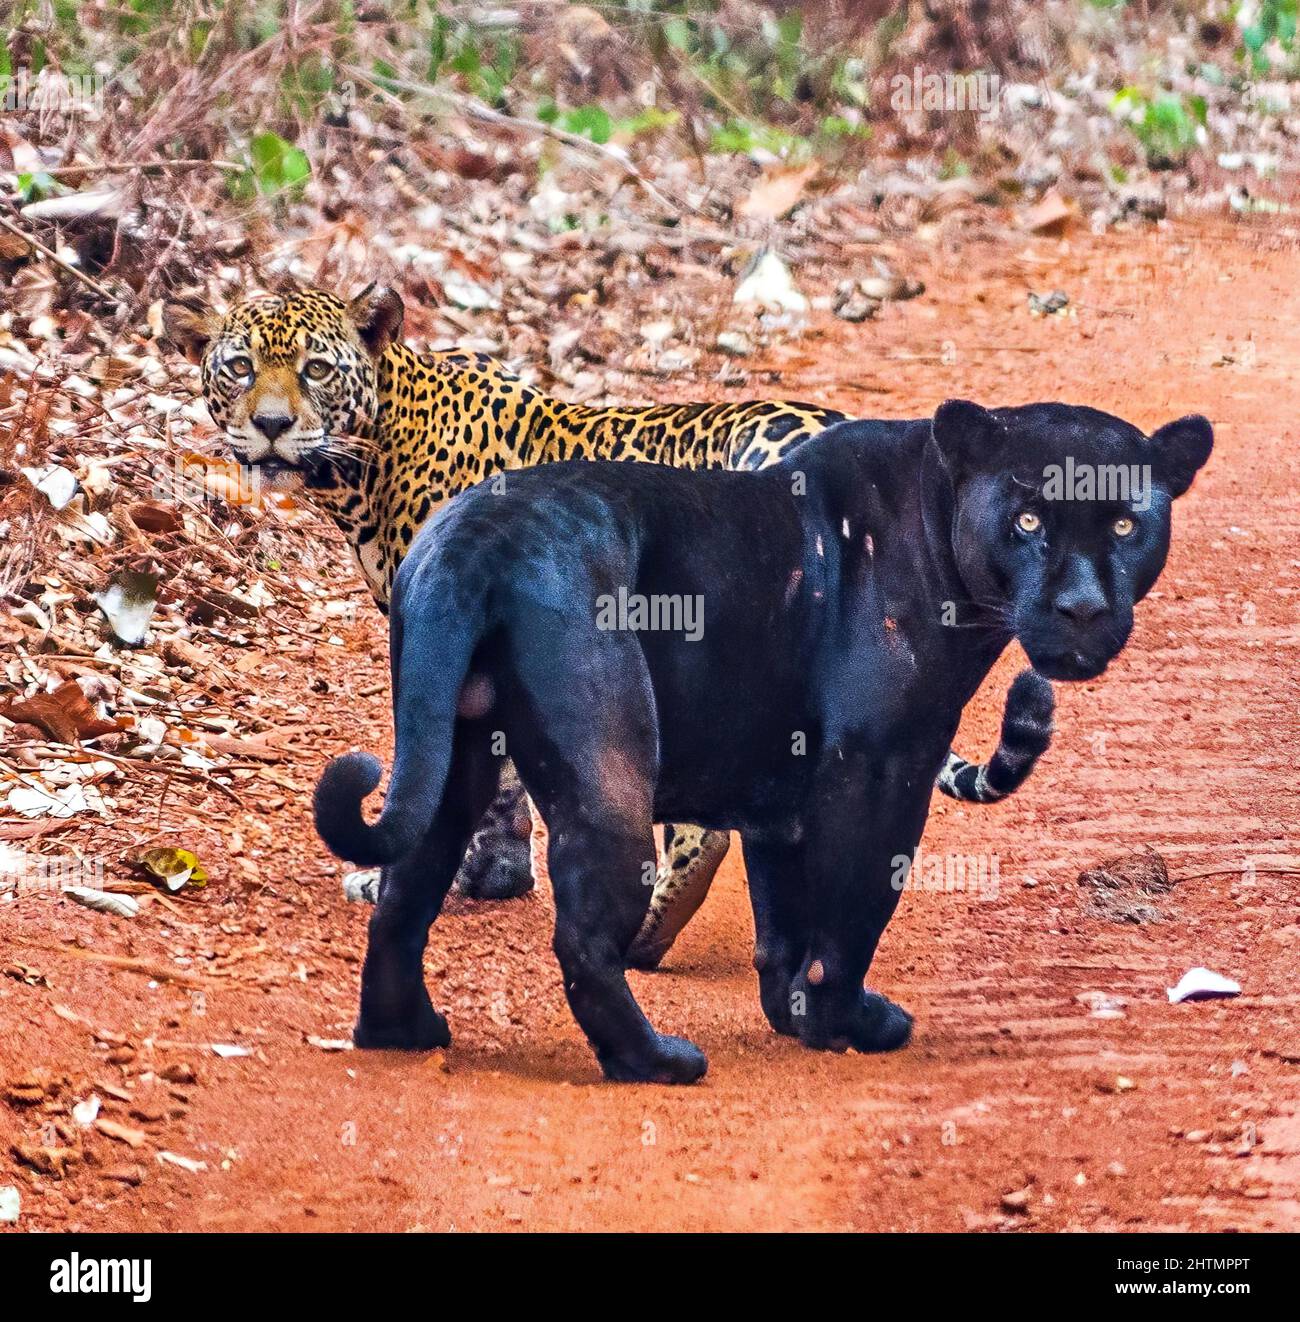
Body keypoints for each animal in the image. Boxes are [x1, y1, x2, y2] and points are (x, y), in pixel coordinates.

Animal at [163, 284, 1052, 960]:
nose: (272, 425)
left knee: (705, 830)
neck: (374, 461)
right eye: (240, 366)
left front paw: (402, 878)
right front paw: (494, 876)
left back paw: (646, 932)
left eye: (316, 369)